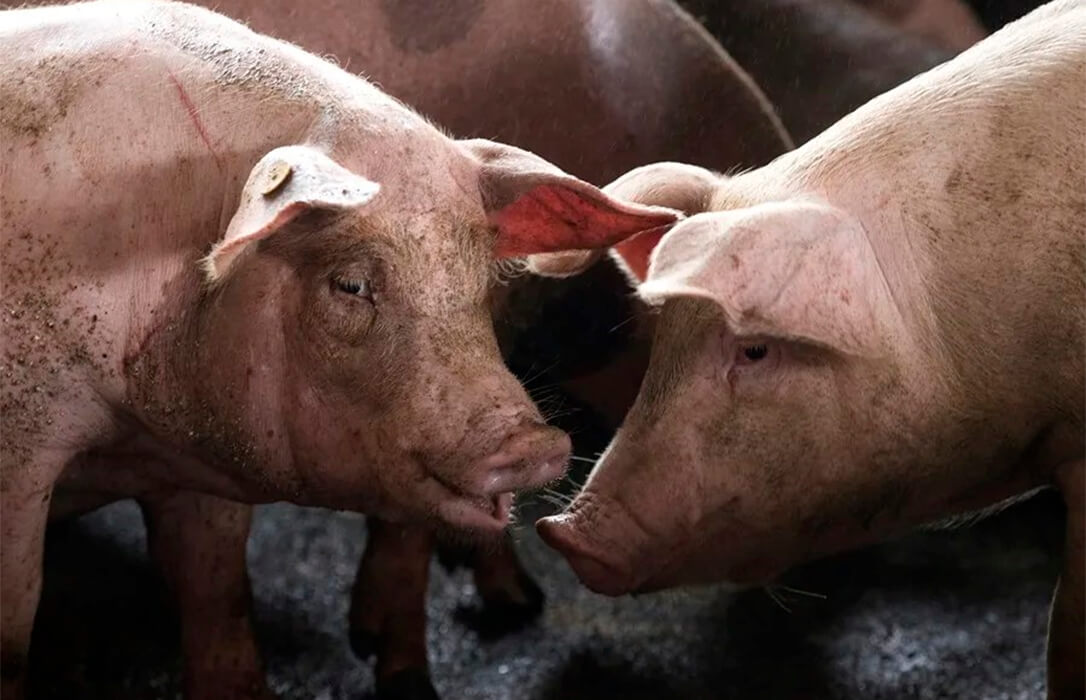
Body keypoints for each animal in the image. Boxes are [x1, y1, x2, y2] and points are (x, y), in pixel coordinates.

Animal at [0, 2, 680, 698]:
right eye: (350, 284)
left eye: (481, 280)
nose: (532, 443)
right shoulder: (21, 457)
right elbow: (15, 631)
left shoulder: (197, 459)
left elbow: (219, 595)